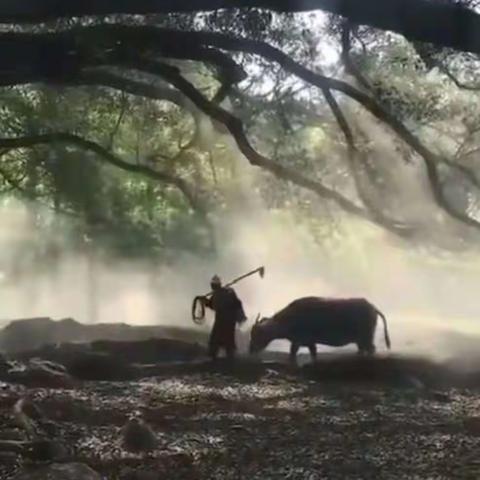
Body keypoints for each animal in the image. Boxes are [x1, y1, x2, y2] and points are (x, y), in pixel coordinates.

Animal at [249, 296, 392, 364]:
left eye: (256, 334)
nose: (250, 350)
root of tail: (373, 307)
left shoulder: (297, 342)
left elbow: (292, 354)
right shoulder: (310, 343)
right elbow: (313, 354)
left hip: (366, 337)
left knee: (371, 350)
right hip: (361, 340)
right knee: (363, 350)